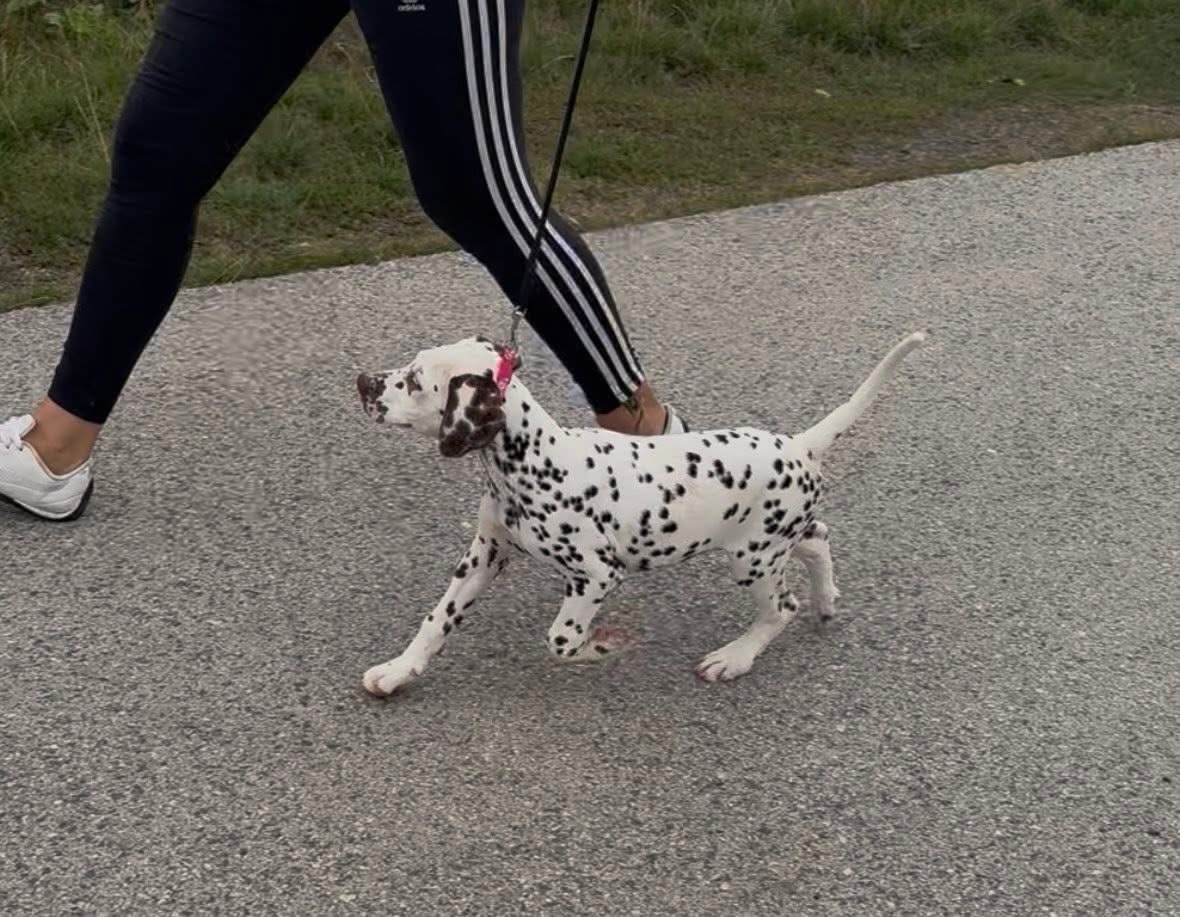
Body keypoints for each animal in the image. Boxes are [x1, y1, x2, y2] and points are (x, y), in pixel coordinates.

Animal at [356, 332, 925, 695]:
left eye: (413, 380)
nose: (363, 381)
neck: (533, 459)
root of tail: (799, 444)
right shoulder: (485, 554)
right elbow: (437, 619)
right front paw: (398, 671)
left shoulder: (596, 575)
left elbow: (561, 638)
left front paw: (601, 646)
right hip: (768, 541)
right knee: (818, 539)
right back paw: (825, 601)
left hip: (752, 559)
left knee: (780, 608)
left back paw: (734, 658)